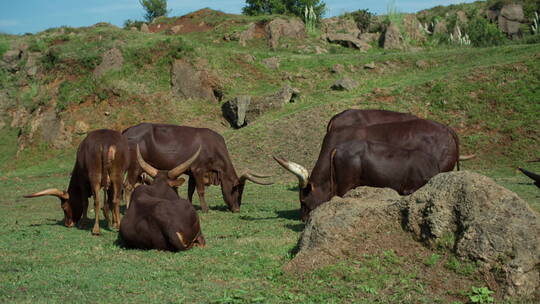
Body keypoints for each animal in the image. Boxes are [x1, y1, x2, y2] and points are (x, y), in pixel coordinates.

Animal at [124, 122, 272, 213]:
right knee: (128, 186)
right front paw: (205, 209)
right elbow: (200, 190)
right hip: (135, 166)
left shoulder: (191, 172)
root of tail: (126, 131)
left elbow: (190, 190)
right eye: (235, 188)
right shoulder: (198, 170)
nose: (236, 210)